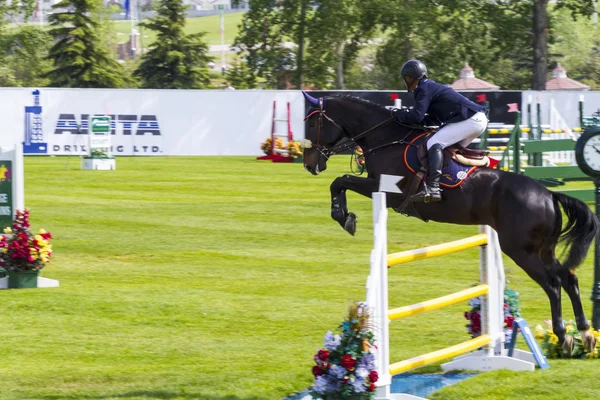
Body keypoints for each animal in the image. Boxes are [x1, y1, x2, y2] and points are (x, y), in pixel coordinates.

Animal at [304, 93, 600, 354]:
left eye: (312, 123)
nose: (309, 164)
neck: (385, 139)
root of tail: (549, 195)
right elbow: (340, 182)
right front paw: (345, 216)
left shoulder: (385, 189)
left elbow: (340, 181)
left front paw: (344, 217)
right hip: (543, 249)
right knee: (569, 278)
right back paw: (584, 333)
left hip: (521, 251)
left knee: (553, 284)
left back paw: (563, 335)